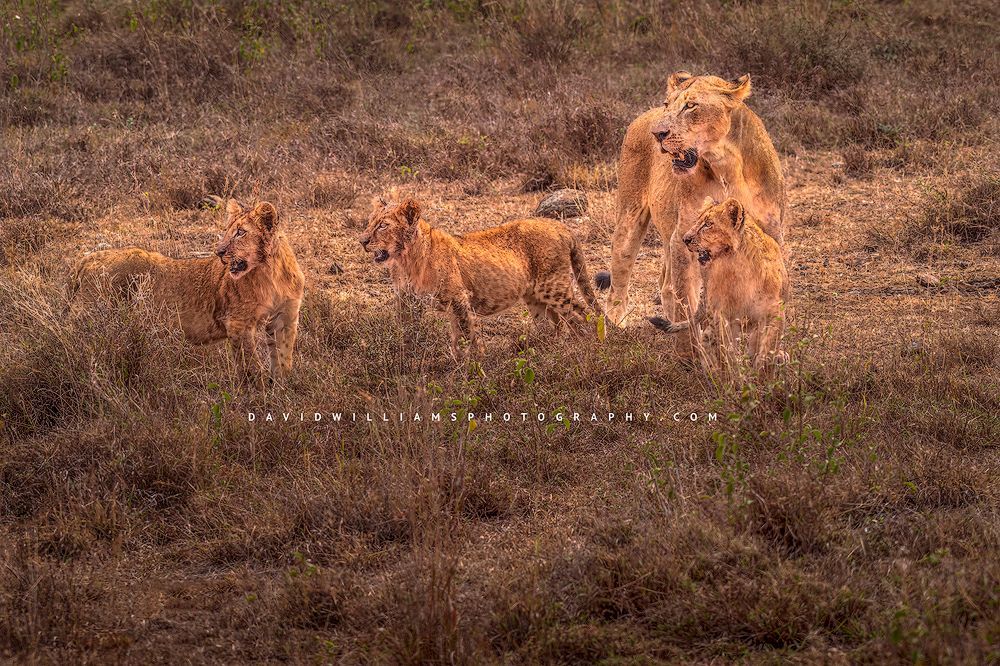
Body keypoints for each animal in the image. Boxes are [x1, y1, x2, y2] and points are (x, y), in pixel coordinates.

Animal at [71, 200, 305, 380]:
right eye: (227, 232)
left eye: (240, 233)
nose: (219, 251)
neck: (270, 272)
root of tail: (88, 258)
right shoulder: (238, 323)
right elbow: (251, 366)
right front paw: (258, 394)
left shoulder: (285, 317)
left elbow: (284, 357)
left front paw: (281, 388)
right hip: (92, 314)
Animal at [360, 197, 601, 358]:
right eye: (370, 222)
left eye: (383, 225)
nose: (362, 240)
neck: (405, 260)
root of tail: (559, 225)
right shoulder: (407, 300)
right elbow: (410, 332)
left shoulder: (458, 297)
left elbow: (468, 334)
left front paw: (476, 368)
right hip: (536, 298)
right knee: (556, 323)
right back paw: (552, 353)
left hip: (552, 286)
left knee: (582, 313)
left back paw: (589, 349)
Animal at [596, 72, 785, 341]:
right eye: (667, 104)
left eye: (691, 106)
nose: (658, 133)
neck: (726, 166)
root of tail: (644, 115)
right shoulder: (684, 237)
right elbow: (686, 301)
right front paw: (690, 347)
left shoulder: (771, 232)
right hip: (629, 219)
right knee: (620, 282)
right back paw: (616, 329)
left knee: (665, 284)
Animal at [648, 197, 787, 370]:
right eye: (698, 221)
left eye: (708, 224)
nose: (685, 239)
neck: (739, 266)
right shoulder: (723, 316)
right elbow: (727, 355)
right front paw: (732, 374)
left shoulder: (773, 312)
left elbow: (766, 353)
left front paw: (763, 372)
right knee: (708, 339)